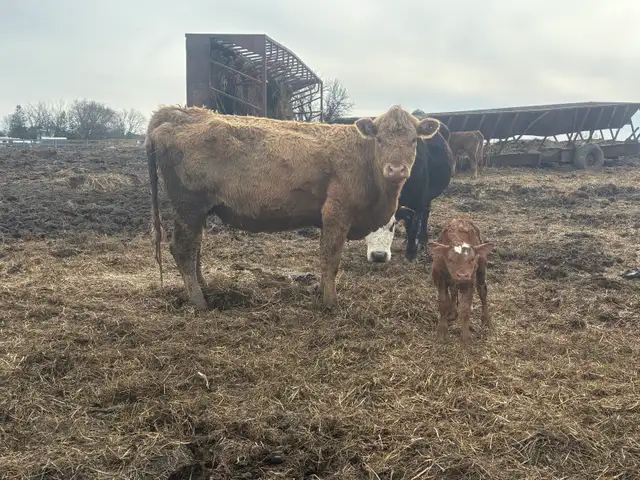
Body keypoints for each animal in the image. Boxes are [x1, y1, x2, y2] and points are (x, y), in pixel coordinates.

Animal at [145, 105, 441, 311]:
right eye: (379, 139)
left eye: (414, 140)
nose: (396, 169)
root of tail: (179, 112)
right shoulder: (336, 212)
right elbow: (331, 256)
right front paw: (330, 302)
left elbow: (325, 257)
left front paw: (321, 290)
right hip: (188, 206)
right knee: (183, 249)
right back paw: (199, 301)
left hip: (198, 212)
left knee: (196, 247)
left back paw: (205, 287)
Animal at [364, 126, 454, 263]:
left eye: (392, 227)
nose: (378, 256)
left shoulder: (418, 201)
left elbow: (413, 225)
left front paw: (411, 253)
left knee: (425, 215)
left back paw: (422, 240)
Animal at [427, 217, 494, 347]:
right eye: (450, 260)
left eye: (472, 259)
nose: (462, 275)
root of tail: (461, 218)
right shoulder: (438, 278)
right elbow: (443, 304)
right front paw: (441, 334)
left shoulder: (468, 282)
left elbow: (465, 308)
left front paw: (466, 338)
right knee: (453, 290)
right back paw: (452, 312)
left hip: (481, 268)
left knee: (483, 291)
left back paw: (486, 320)